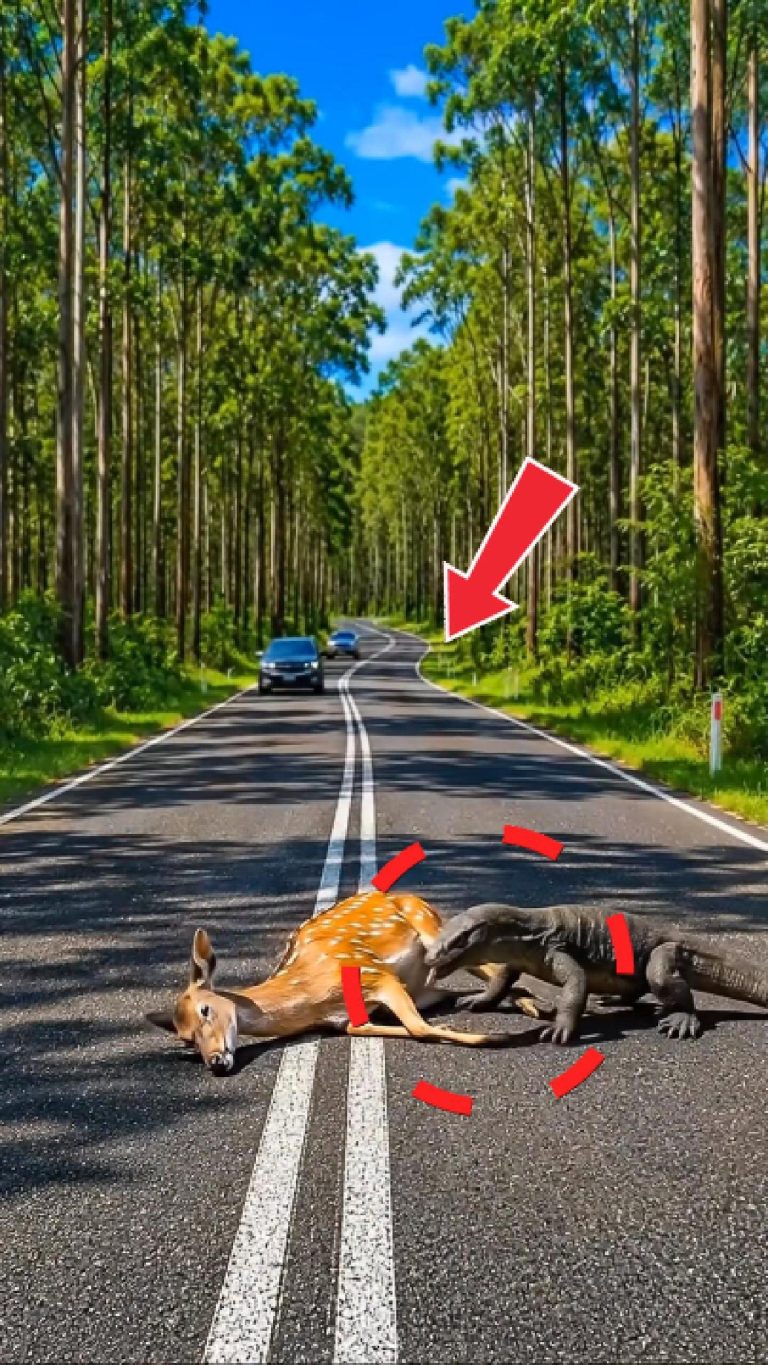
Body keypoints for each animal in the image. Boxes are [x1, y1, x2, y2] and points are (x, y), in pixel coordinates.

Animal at [146, 888, 550, 1074]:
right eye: (185, 1040)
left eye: (205, 1009)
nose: (215, 1061)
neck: (311, 996)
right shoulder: (354, 1012)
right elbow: (368, 1028)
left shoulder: (374, 973)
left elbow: (419, 1028)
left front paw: (497, 1039)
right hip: (427, 978)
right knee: (482, 982)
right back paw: (530, 1006)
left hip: (434, 933)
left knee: (492, 965)